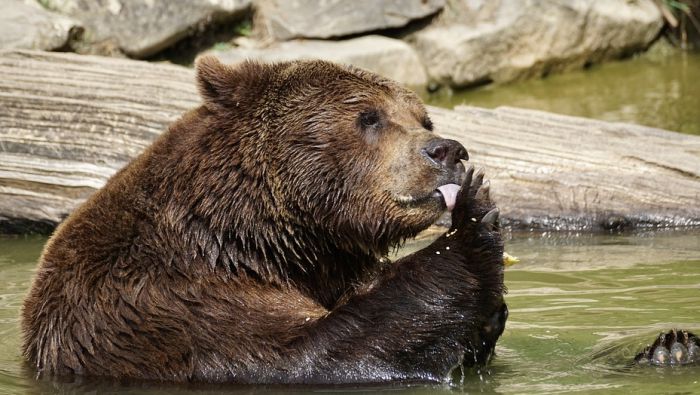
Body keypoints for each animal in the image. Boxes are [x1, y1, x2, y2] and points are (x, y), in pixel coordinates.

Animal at [20, 57, 504, 386]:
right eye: (368, 117)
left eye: (424, 118)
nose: (447, 150)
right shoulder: (164, 305)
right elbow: (310, 354)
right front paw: (474, 221)